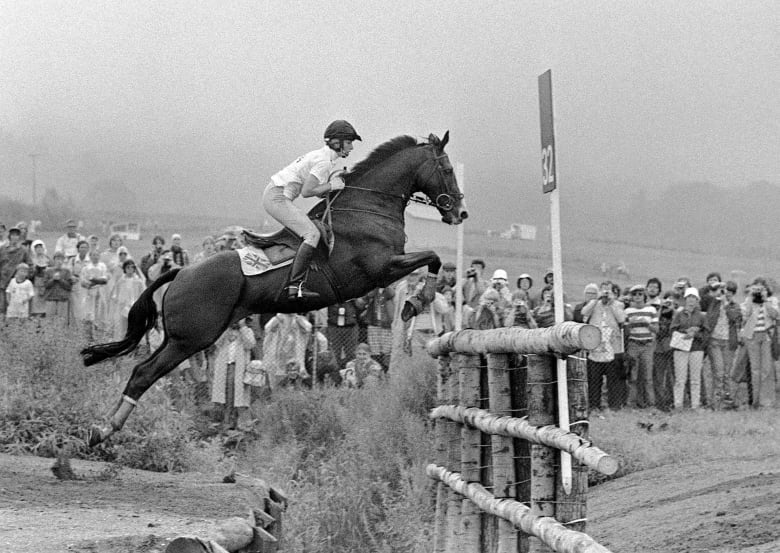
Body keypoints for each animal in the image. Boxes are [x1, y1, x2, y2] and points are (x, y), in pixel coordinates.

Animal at [82, 130, 466, 444]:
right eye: (447, 168)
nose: (460, 213)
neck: (369, 207)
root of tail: (180, 272)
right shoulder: (380, 269)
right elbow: (431, 258)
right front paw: (418, 301)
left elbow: (431, 259)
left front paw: (417, 301)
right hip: (192, 337)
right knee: (144, 373)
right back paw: (103, 430)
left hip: (179, 336)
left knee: (142, 370)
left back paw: (104, 427)